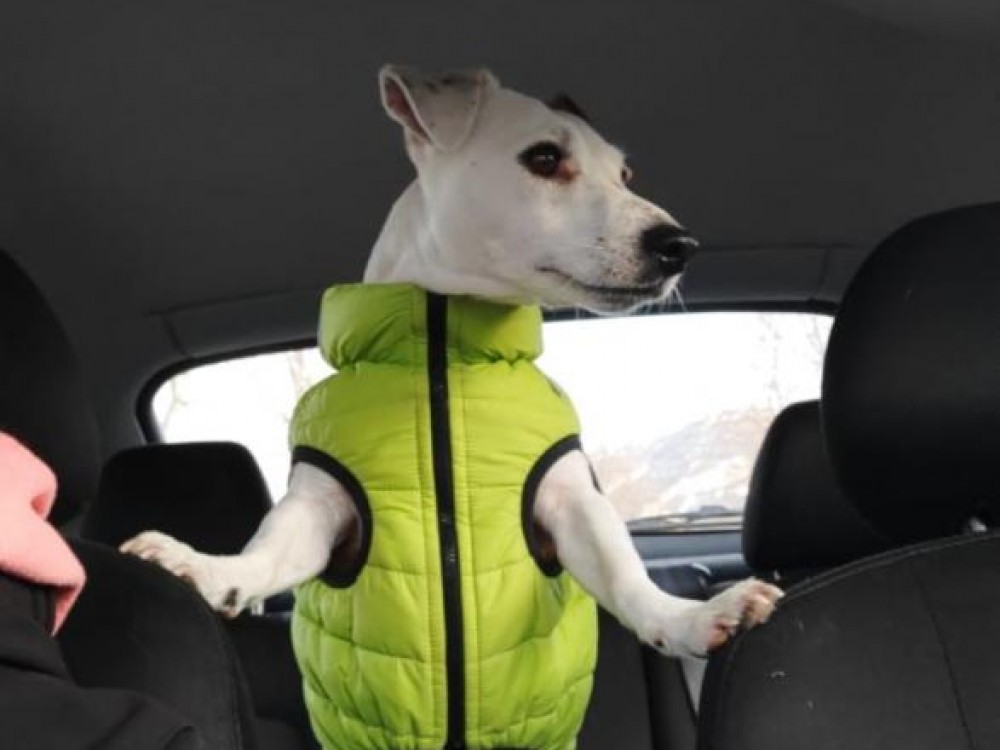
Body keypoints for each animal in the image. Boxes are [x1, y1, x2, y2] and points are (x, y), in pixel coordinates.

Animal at [123, 65, 782, 748]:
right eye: (544, 159)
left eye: (625, 175)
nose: (679, 244)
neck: (444, 347)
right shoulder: (322, 507)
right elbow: (268, 550)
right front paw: (203, 569)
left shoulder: (569, 501)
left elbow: (623, 572)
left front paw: (693, 617)